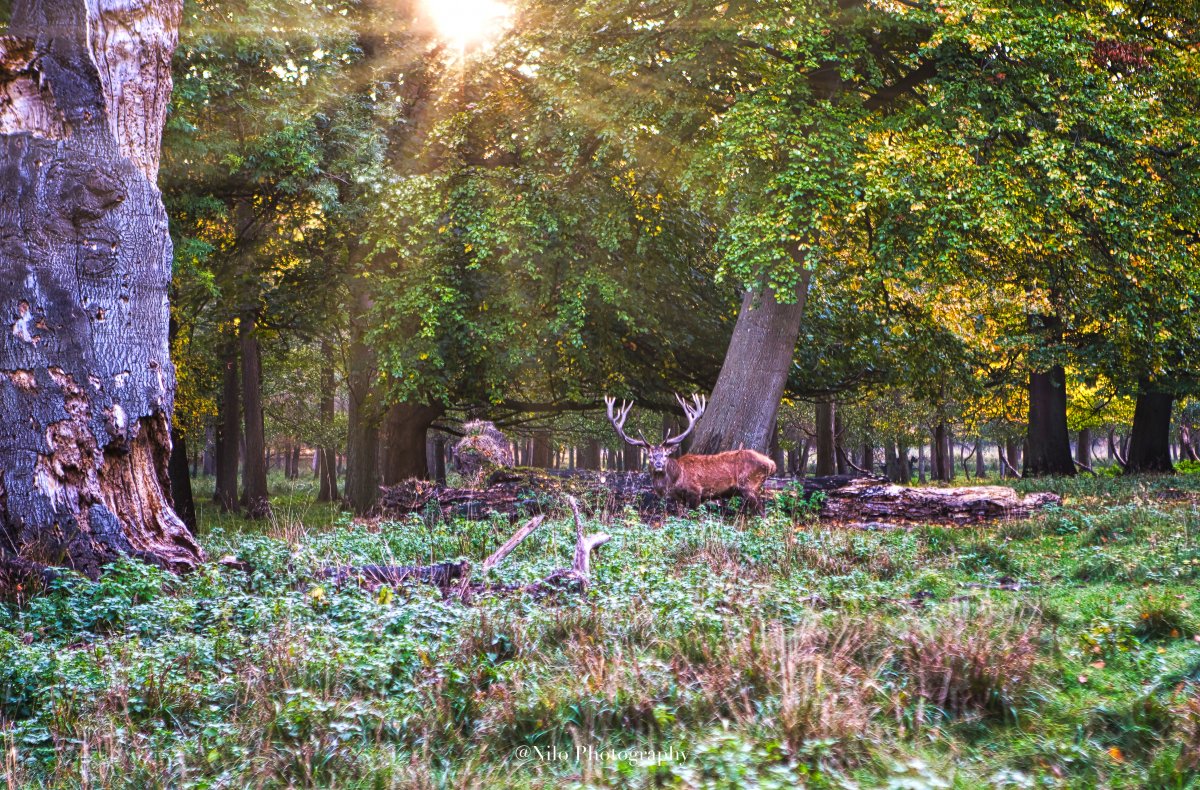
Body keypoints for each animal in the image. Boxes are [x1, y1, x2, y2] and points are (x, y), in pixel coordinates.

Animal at [604, 394, 777, 514]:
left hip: (750, 485)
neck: (675, 480)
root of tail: (771, 463)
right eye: (651, 456)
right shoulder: (678, 498)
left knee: (762, 513)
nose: (659, 464)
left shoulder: (696, 493)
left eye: (665, 455)